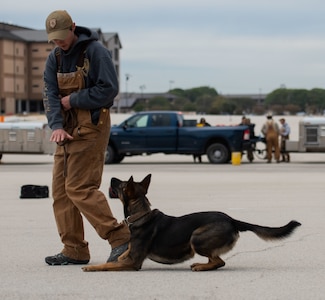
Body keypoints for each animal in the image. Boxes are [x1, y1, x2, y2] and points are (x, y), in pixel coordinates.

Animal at [82, 173, 300, 272]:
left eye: (121, 185)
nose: (111, 177)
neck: (141, 214)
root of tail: (231, 219)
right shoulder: (130, 255)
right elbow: (122, 253)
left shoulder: (134, 262)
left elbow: (107, 265)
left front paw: (93, 267)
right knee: (216, 261)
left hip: (196, 237)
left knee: (219, 262)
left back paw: (201, 266)